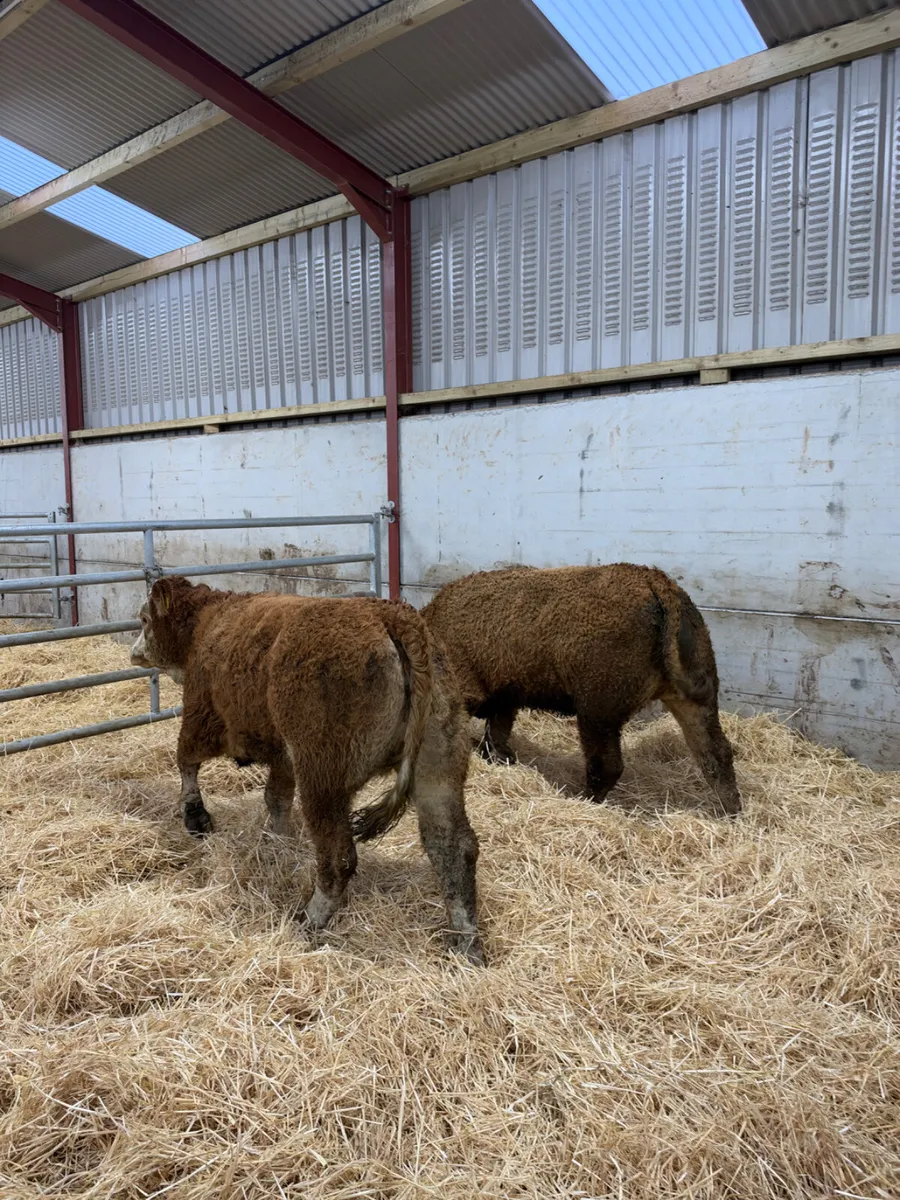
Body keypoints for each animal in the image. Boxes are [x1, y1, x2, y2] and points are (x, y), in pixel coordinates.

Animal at [130, 577, 483, 964]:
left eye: (144, 619)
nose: (134, 652)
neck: (207, 622)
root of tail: (393, 615)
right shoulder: (284, 755)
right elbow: (276, 798)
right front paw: (278, 840)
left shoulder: (202, 716)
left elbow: (186, 761)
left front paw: (196, 817)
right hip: (439, 765)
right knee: (454, 848)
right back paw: (467, 942)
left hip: (323, 776)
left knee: (339, 857)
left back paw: (309, 920)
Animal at [421, 564, 741, 817]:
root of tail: (657, 584)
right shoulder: (505, 700)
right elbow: (497, 737)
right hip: (694, 700)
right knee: (715, 754)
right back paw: (731, 811)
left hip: (596, 713)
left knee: (607, 765)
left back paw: (583, 800)